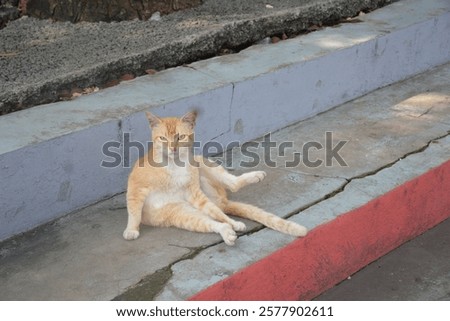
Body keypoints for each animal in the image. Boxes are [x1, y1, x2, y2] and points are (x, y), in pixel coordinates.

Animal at [122, 110, 306, 245]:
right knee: (214, 221)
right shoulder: (136, 188)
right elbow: (134, 212)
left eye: (180, 137)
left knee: (228, 194)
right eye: (163, 138)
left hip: (202, 165)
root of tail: (223, 202)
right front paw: (132, 229)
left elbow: (216, 211)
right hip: (182, 214)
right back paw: (227, 232)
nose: (173, 148)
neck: (173, 165)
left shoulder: (194, 193)